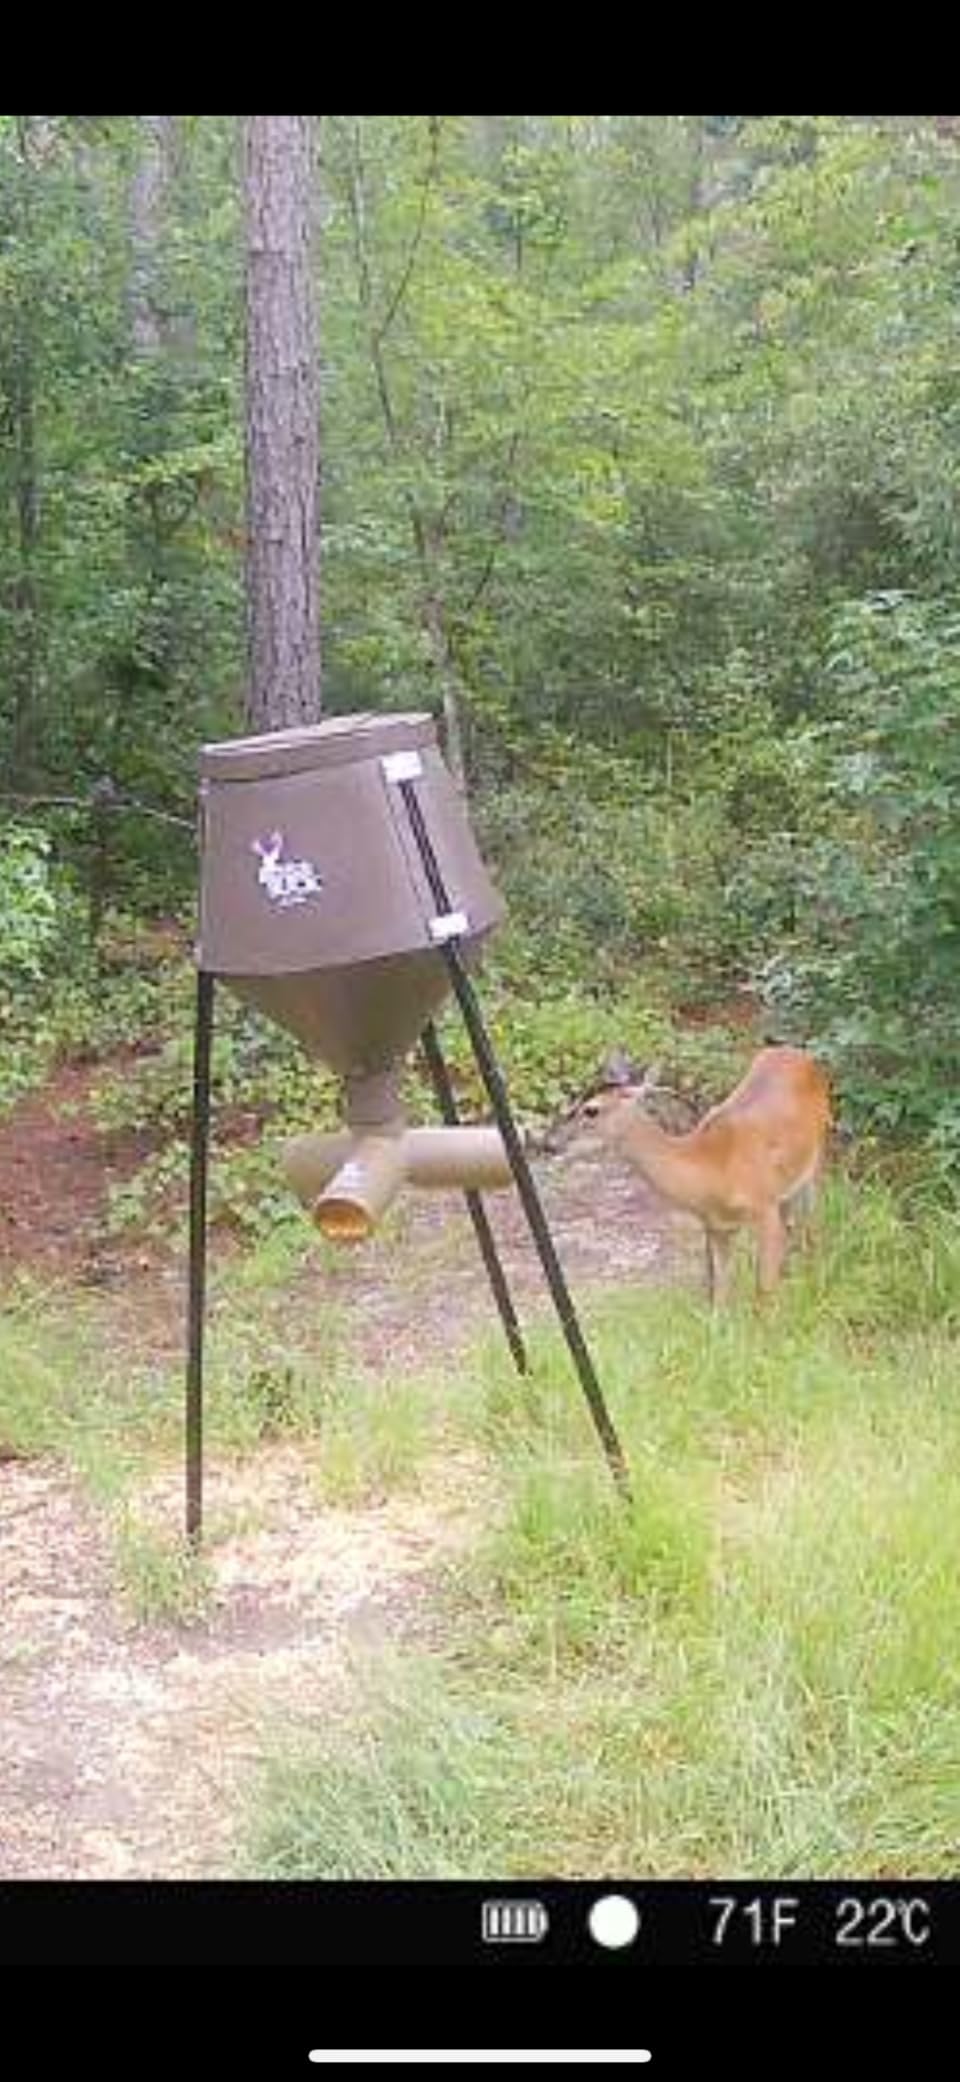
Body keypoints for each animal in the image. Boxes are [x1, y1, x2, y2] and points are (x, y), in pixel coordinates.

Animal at [545, 1045, 831, 1306]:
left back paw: (814, 1280)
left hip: (818, 1153)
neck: (713, 1168)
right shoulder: (715, 1226)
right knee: (793, 1224)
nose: (549, 1143)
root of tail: (799, 1054)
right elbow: (719, 1295)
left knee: (813, 1226)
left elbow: (763, 1294)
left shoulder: (764, 1207)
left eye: (591, 1110)